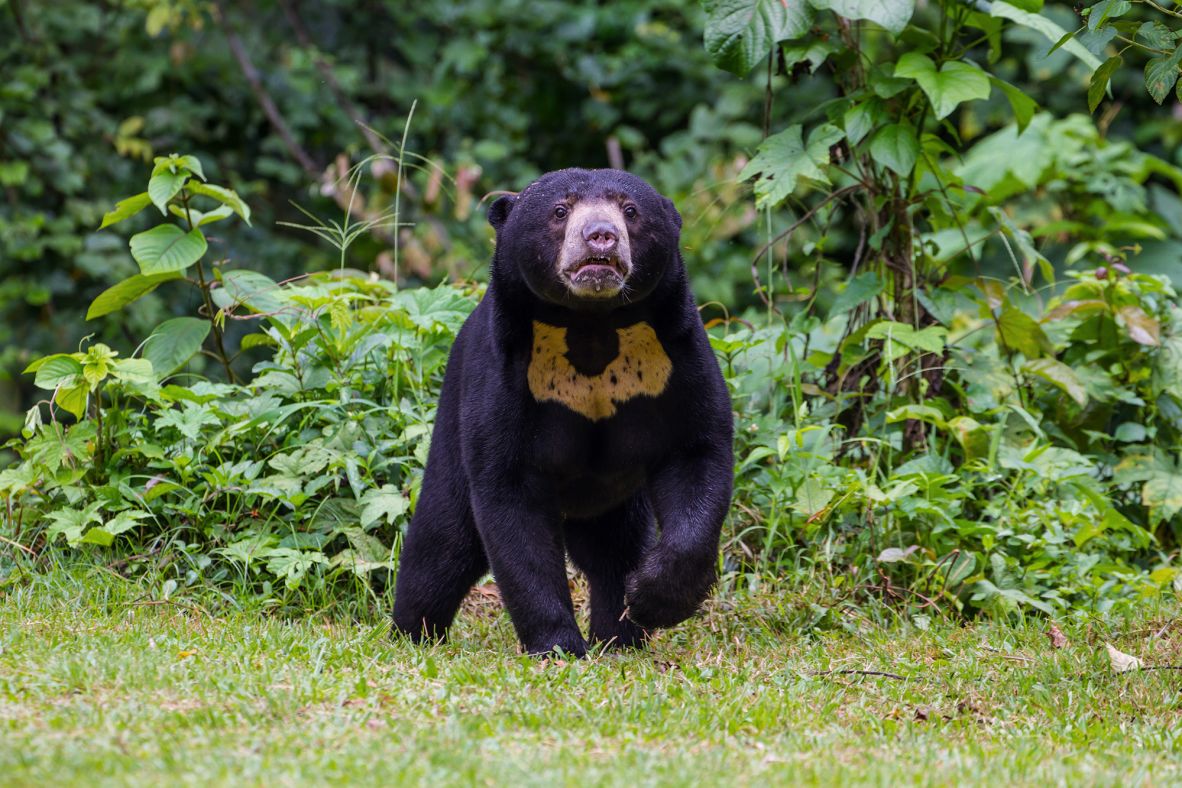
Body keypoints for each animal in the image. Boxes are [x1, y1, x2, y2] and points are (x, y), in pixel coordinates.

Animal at [391, 168, 733, 656]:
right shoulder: (505, 372)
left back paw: (620, 637)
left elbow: (697, 452)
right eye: (559, 210)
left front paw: (652, 600)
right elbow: (510, 498)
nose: (601, 236)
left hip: (613, 498)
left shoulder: (676, 356)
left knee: (613, 550)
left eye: (630, 210)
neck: (590, 324)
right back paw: (413, 633)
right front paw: (557, 645)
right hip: (451, 423)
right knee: (442, 544)